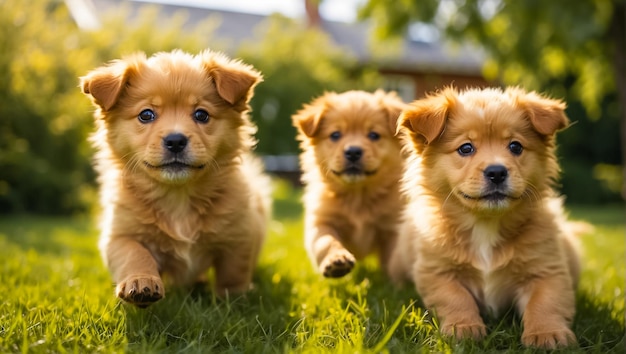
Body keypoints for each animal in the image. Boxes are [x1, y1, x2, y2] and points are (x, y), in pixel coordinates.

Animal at [80, 49, 270, 306]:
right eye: (146, 114)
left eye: (201, 114)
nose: (176, 140)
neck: (177, 196)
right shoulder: (120, 234)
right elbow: (134, 253)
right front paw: (141, 282)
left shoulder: (240, 235)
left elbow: (233, 271)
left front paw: (234, 299)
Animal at [292, 90, 404, 278]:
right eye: (335, 135)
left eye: (374, 135)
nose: (353, 151)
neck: (357, 197)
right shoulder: (322, 221)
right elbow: (326, 241)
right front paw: (336, 260)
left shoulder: (392, 227)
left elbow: (394, 258)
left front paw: (396, 280)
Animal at [390, 86, 580, 348]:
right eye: (466, 148)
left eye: (515, 147)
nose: (497, 172)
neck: (485, 225)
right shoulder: (437, 271)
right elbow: (455, 297)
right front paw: (464, 328)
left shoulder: (546, 270)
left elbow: (545, 301)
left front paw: (546, 333)